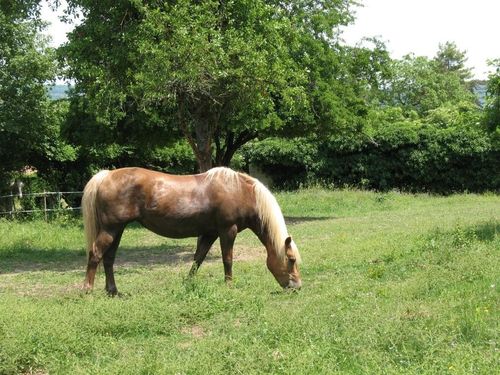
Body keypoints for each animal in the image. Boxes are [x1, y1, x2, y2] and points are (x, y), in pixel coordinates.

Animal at [82, 166, 300, 296]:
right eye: (291, 260)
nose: (297, 286)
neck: (240, 191)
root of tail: (106, 175)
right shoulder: (227, 230)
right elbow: (227, 259)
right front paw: (229, 286)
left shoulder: (210, 233)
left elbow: (198, 258)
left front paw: (187, 284)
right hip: (110, 229)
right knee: (95, 254)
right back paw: (88, 290)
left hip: (117, 230)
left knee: (108, 258)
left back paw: (113, 291)